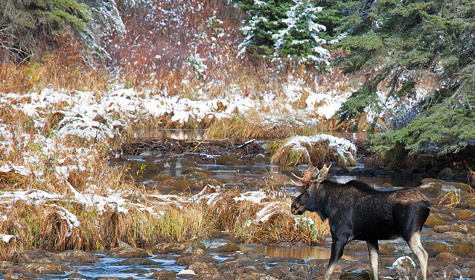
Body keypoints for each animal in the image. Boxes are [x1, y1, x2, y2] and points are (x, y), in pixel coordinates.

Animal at [292, 164, 434, 280]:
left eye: (307, 189)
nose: (293, 206)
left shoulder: (339, 237)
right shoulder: (371, 238)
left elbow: (328, 272)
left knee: (423, 254)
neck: (327, 205)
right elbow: (374, 266)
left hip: (410, 232)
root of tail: (427, 204)